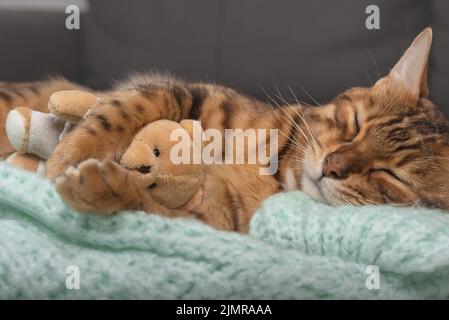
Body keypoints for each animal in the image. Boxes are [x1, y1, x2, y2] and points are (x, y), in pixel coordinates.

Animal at [0, 28, 448, 232]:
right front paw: (69, 154)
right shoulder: (193, 95)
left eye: (391, 176)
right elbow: (123, 110)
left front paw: (105, 187)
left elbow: (155, 207)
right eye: (354, 124)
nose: (332, 166)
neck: (279, 176)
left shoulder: (217, 215)